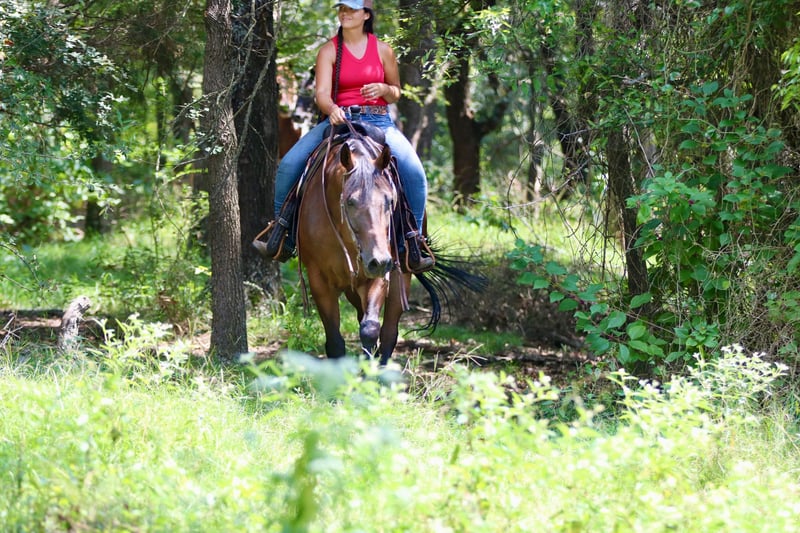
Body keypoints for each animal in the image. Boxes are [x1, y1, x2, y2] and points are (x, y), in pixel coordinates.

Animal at [296, 123, 484, 365]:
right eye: (350, 201)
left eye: (389, 200)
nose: (378, 261)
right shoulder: (319, 279)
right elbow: (335, 341)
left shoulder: (381, 273)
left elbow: (370, 329)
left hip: (400, 276)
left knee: (389, 331)